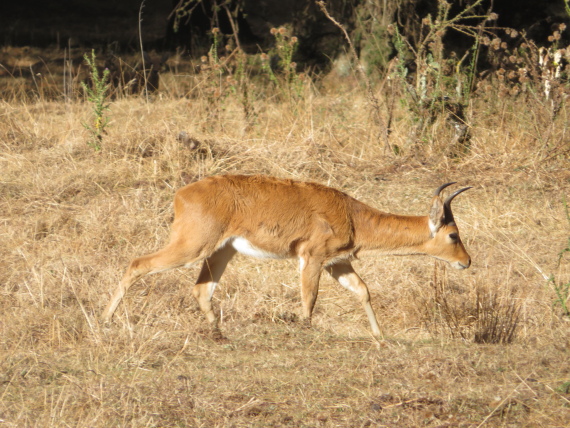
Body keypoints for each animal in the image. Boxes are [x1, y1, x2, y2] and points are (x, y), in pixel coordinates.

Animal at [103, 174, 470, 338]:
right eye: (453, 235)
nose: (466, 261)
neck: (353, 216)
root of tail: (182, 194)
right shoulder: (313, 257)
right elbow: (309, 299)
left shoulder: (338, 262)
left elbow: (363, 290)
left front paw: (380, 338)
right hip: (192, 247)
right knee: (137, 264)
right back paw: (106, 320)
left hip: (221, 252)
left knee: (201, 289)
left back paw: (219, 333)